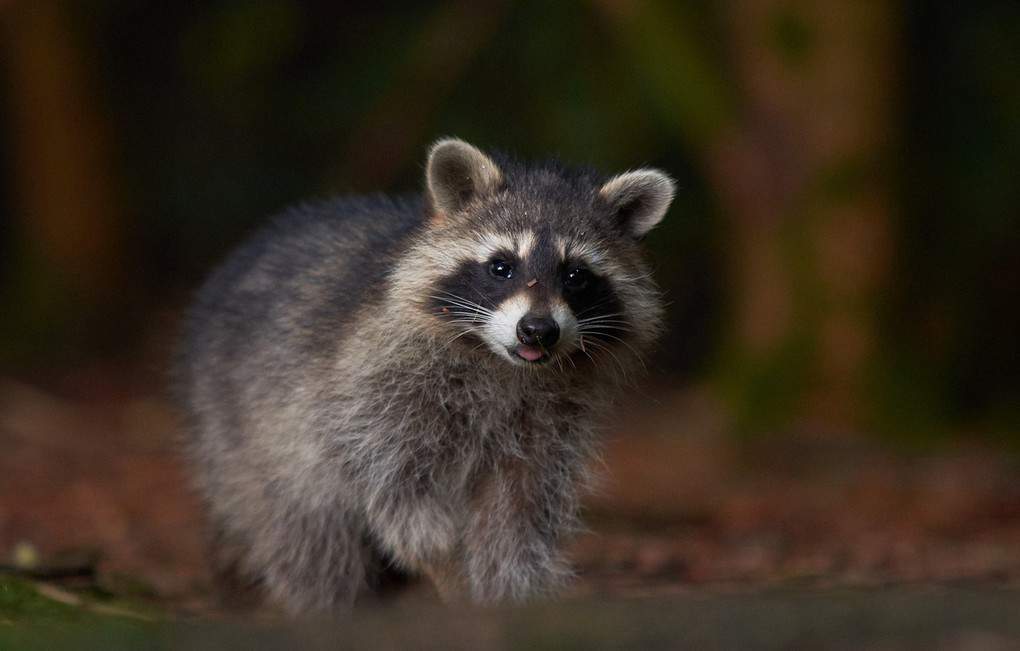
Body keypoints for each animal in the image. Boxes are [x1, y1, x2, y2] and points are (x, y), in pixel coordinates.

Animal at [179, 140, 673, 616]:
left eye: (576, 276)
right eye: (502, 267)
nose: (537, 329)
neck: (504, 365)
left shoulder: (549, 426)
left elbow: (520, 515)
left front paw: (511, 592)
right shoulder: (374, 391)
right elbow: (399, 494)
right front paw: (449, 571)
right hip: (247, 439)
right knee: (309, 536)